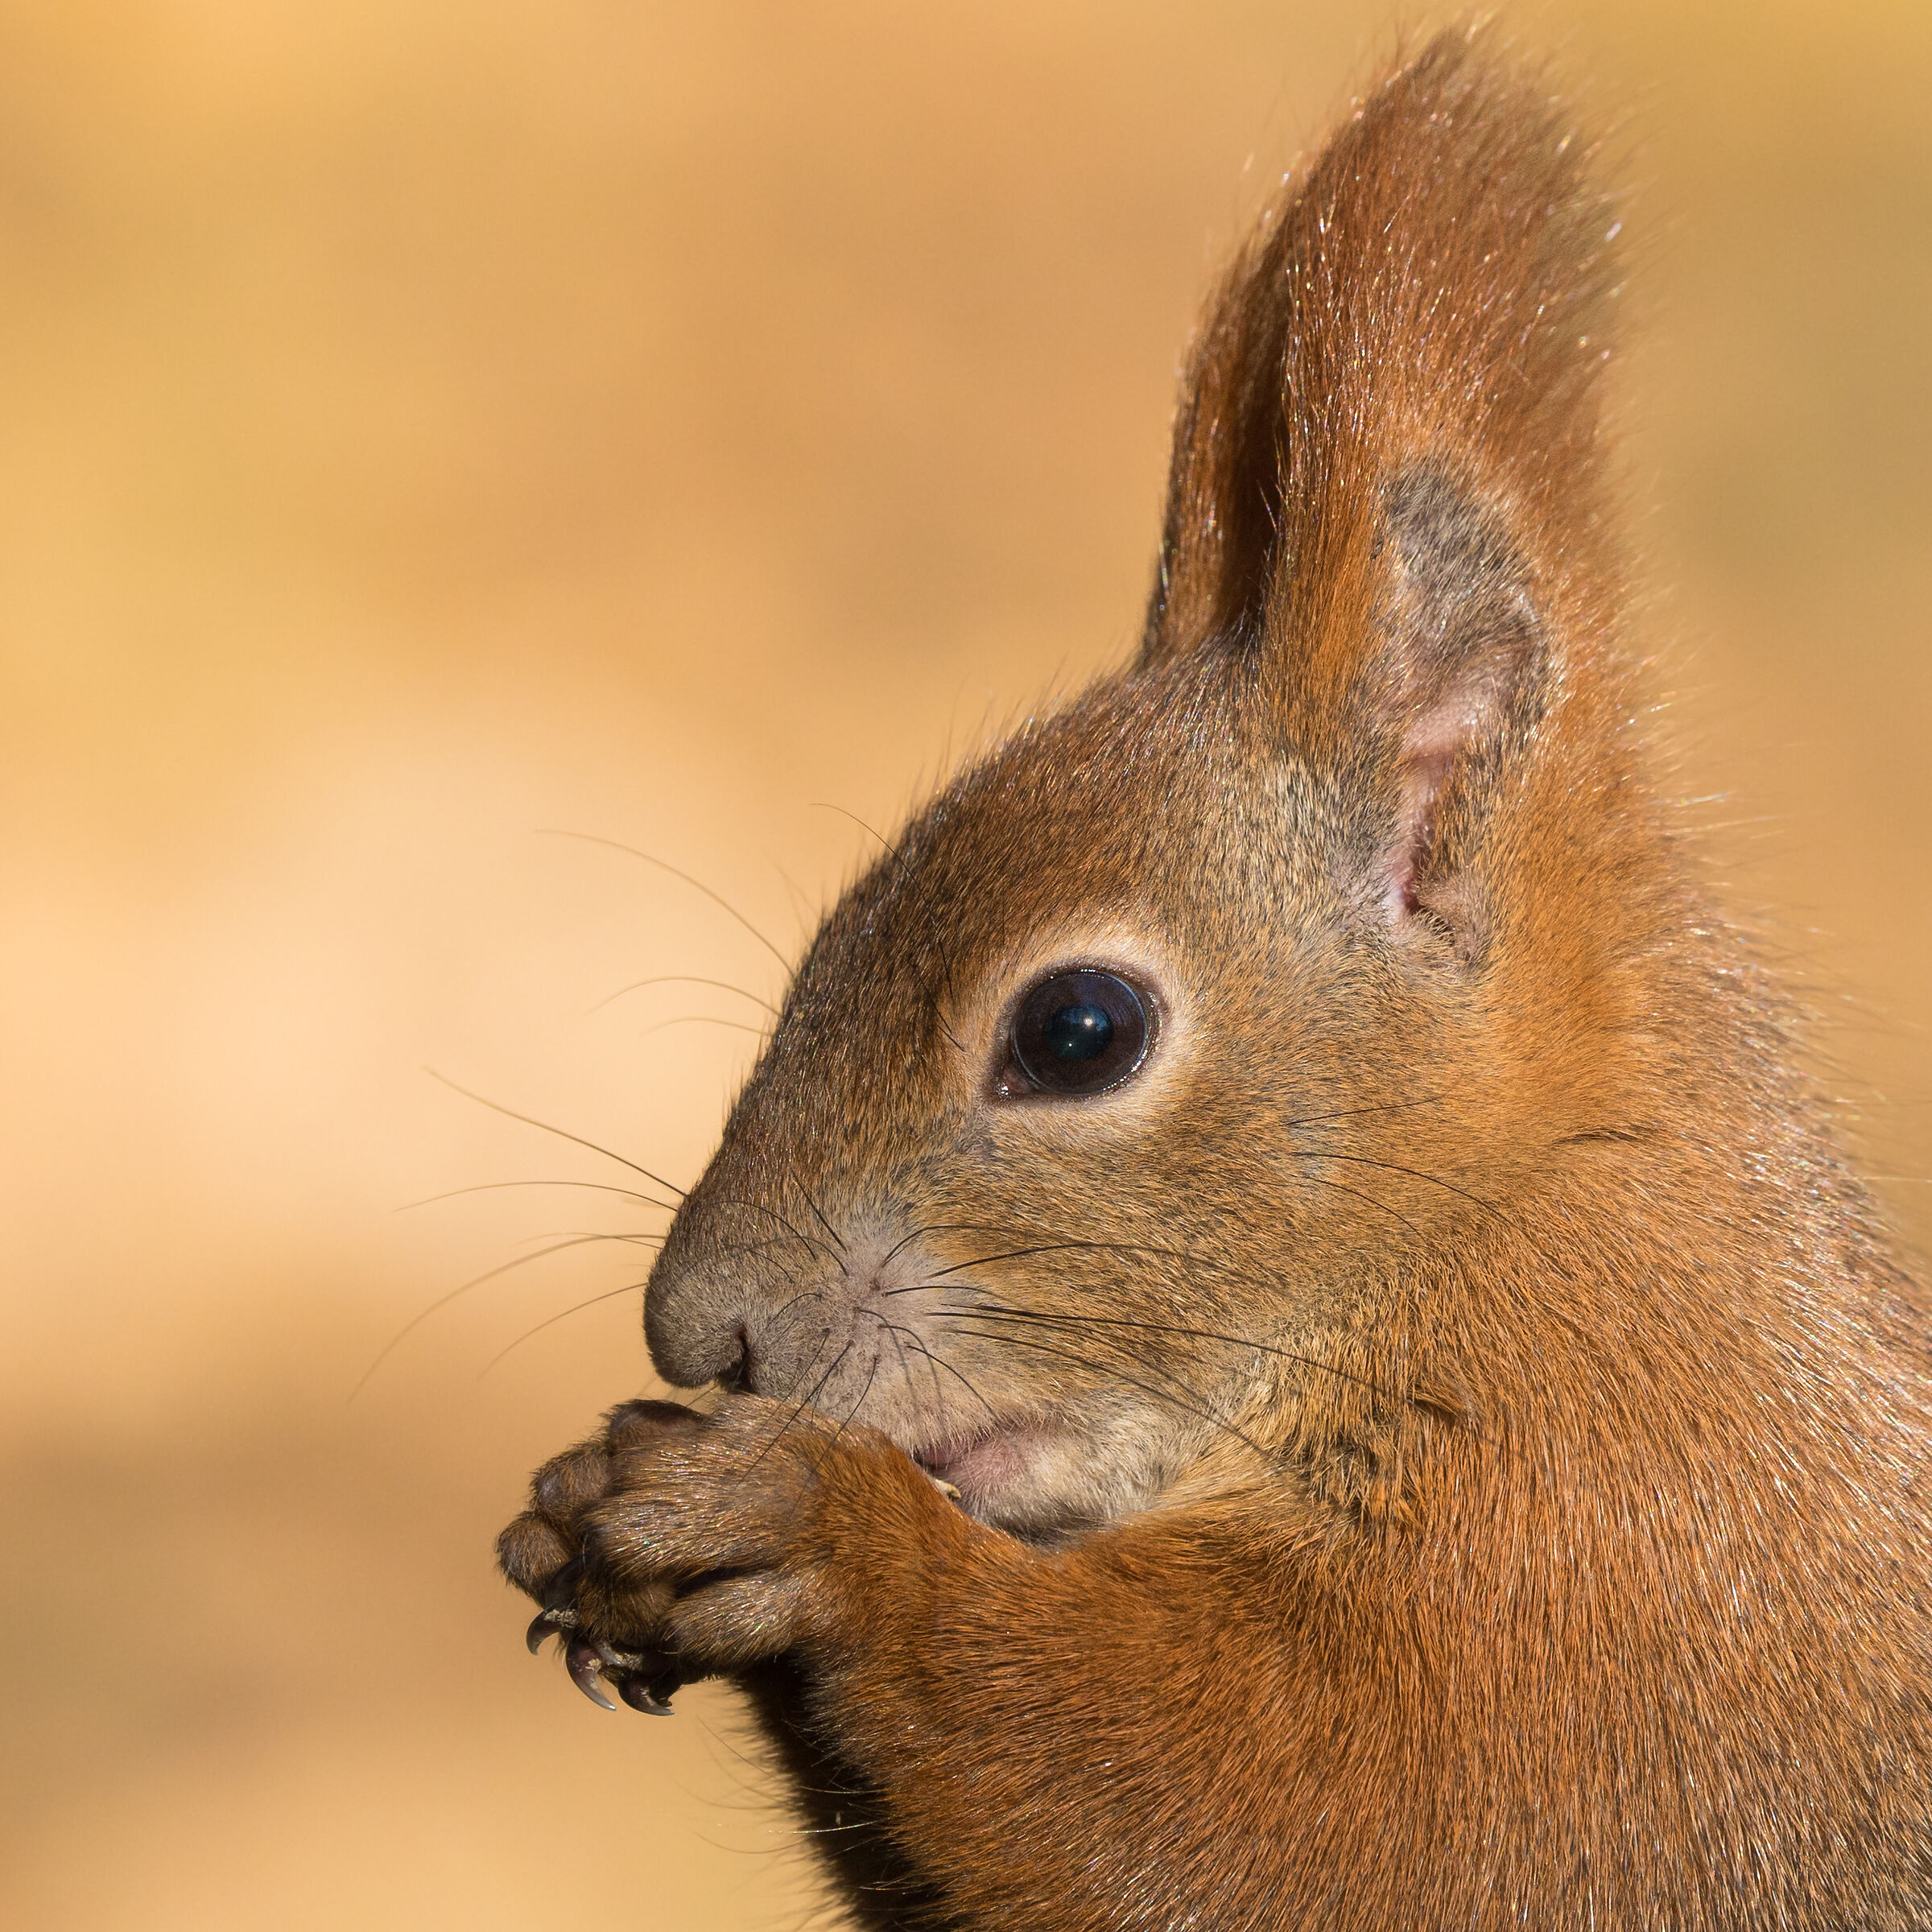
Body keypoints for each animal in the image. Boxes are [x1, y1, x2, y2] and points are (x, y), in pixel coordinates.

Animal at [497, 26, 1932, 1930]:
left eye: (1078, 1032)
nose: (703, 1331)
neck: (1503, 1215)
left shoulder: (1629, 1553)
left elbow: (1297, 1818)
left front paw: (816, 1532)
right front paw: (587, 1505)